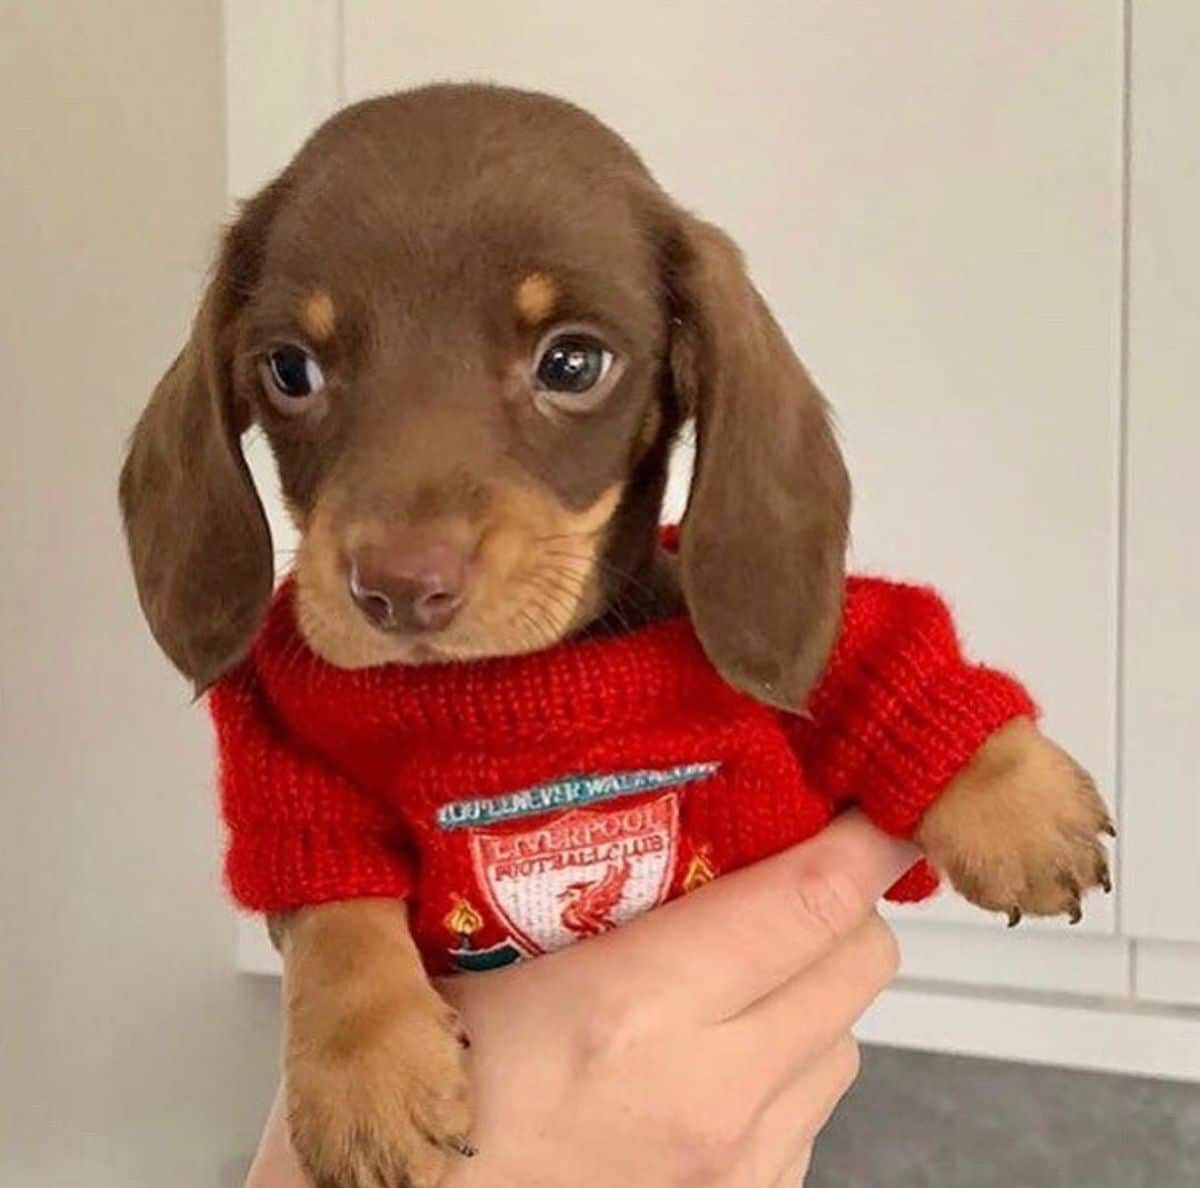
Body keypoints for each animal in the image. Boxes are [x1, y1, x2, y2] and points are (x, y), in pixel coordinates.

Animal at [117, 85, 1108, 1188]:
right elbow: (332, 906)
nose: (400, 591)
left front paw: (1019, 807)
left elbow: (879, 665)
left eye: (573, 362)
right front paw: (367, 1080)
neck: (524, 673)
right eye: (291, 369)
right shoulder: (292, 779)